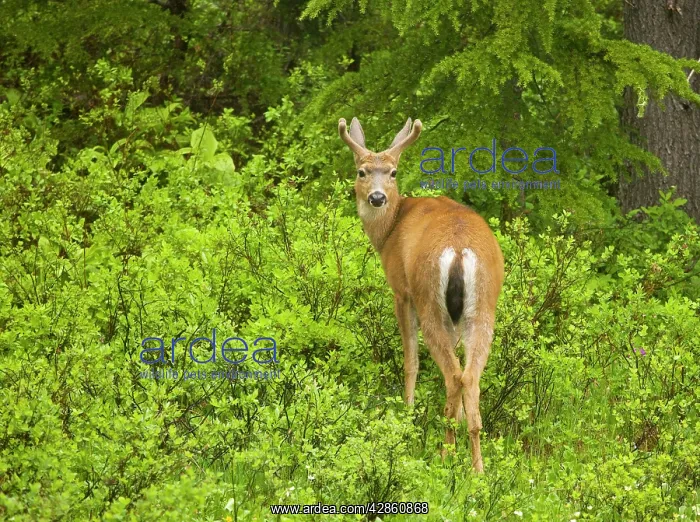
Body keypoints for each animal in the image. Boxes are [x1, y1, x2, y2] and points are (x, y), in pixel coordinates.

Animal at [338, 117, 504, 472]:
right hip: (482, 307)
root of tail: (459, 250)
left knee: (453, 374)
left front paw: (408, 409)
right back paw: (476, 466)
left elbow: (410, 360)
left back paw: (445, 454)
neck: (388, 232)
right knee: (469, 376)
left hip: (429, 300)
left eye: (393, 172)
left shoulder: (401, 289)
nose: (376, 198)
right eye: (362, 171)